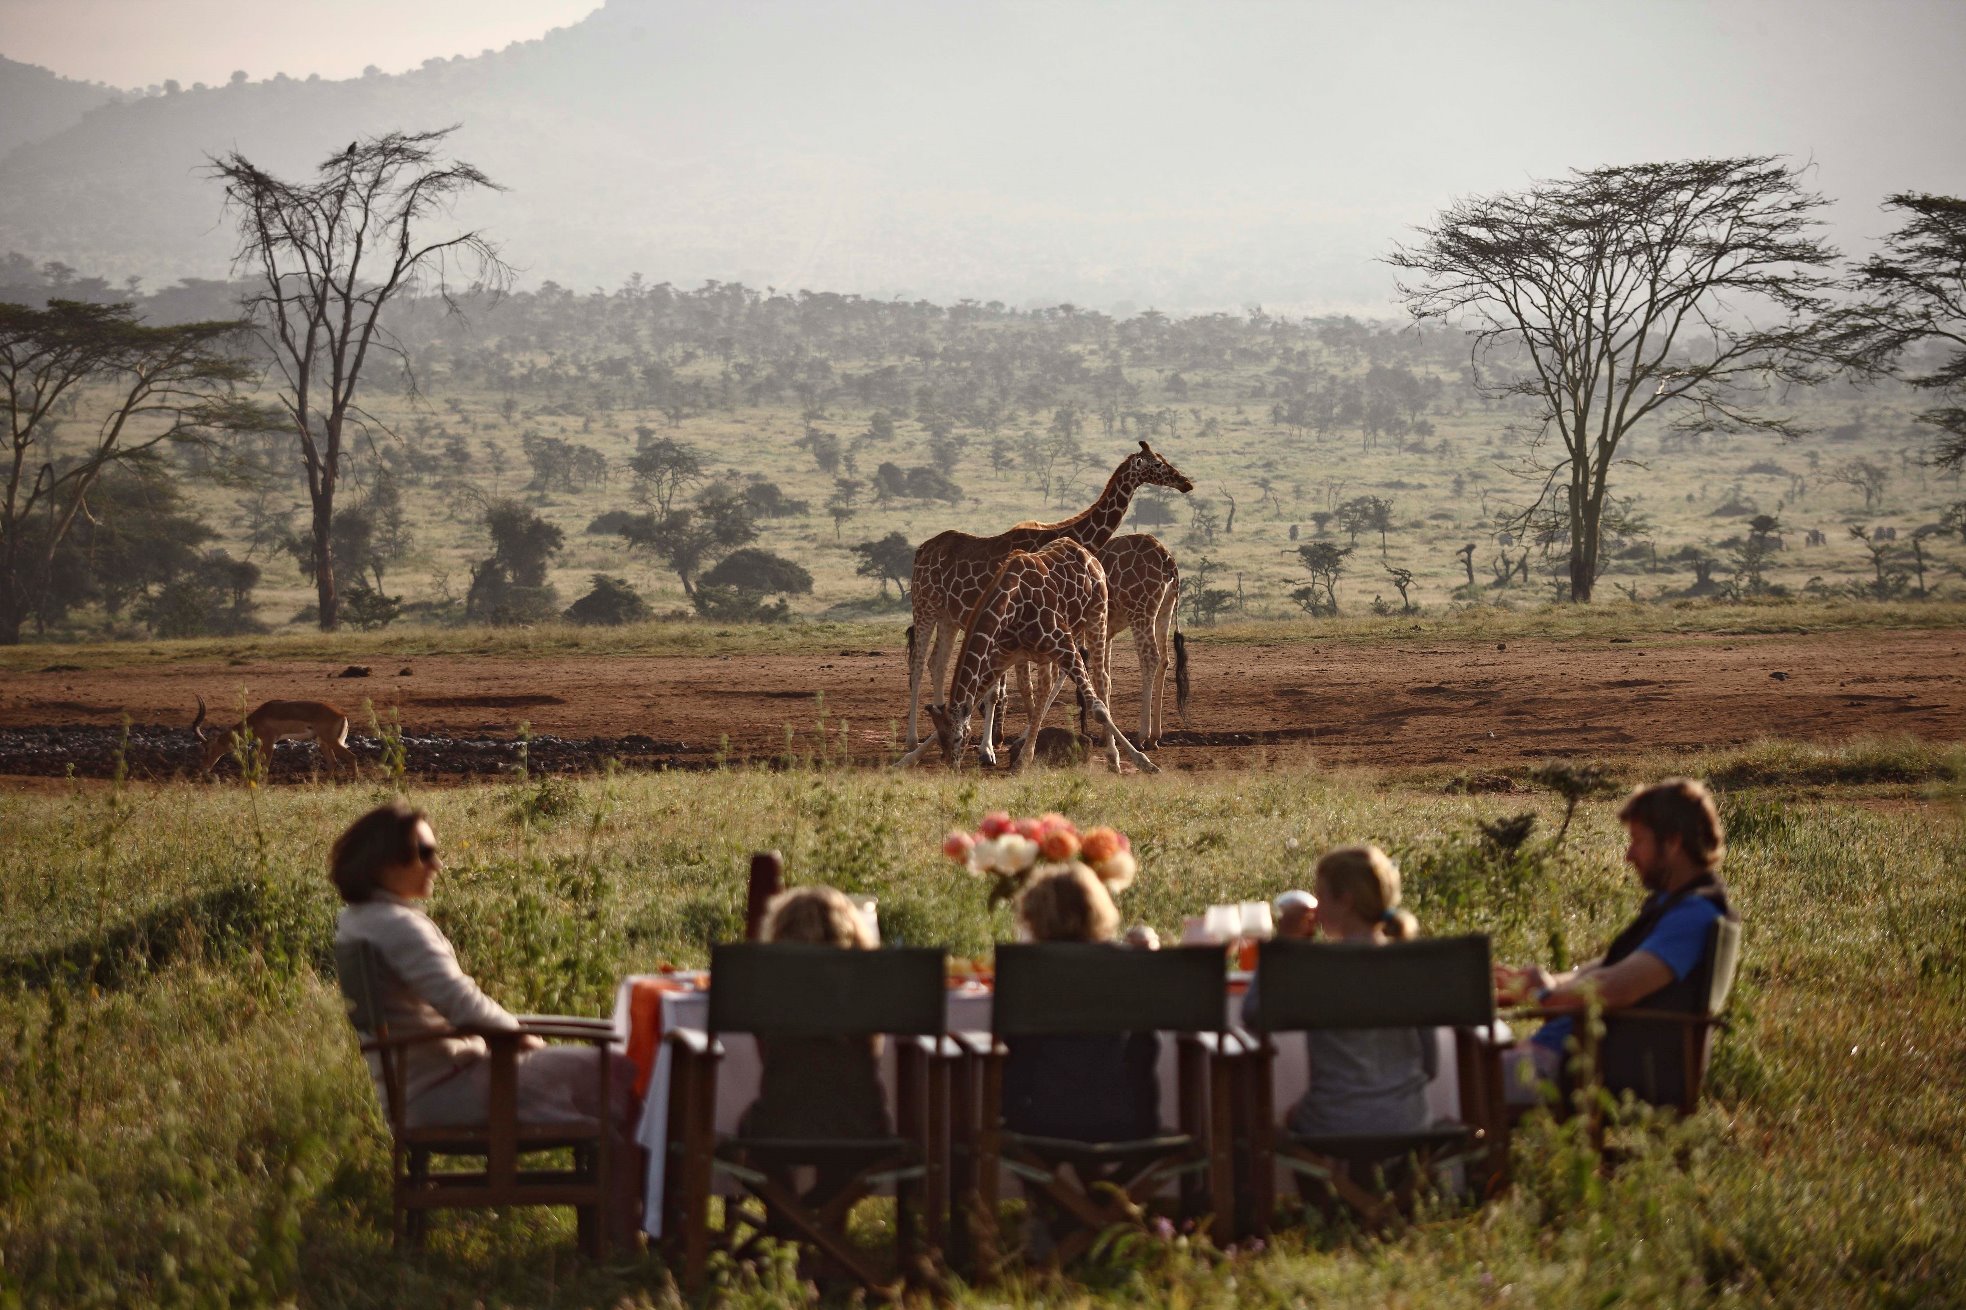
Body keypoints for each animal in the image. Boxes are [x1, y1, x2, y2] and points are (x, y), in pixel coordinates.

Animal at [897, 539, 1158, 774]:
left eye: (962, 737)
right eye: (943, 739)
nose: (952, 767)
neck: (1010, 606)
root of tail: (1088, 554)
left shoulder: (1064, 644)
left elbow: (1099, 710)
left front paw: (1144, 762)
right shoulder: (1003, 656)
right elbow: (979, 694)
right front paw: (908, 759)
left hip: (1097, 616)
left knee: (1102, 680)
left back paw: (1113, 757)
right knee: (1045, 689)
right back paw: (1025, 756)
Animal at [905, 441, 1193, 752]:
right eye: (1158, 464)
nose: (1185, 482)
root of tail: (920, 551)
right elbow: (1020, 686)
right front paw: (1002, 743)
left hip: (948, 617)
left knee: (937, 663)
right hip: (925, 606)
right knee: (919, 662)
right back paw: (912, 738)